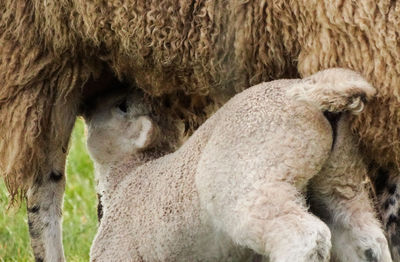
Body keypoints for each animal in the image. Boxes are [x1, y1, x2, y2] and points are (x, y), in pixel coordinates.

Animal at [0, 0, 400, 260]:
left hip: (253, 191)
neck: (129, 179)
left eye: (122, 107)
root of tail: (309, 93)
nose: (103, 91)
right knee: (366, 239)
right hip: (338, 181)